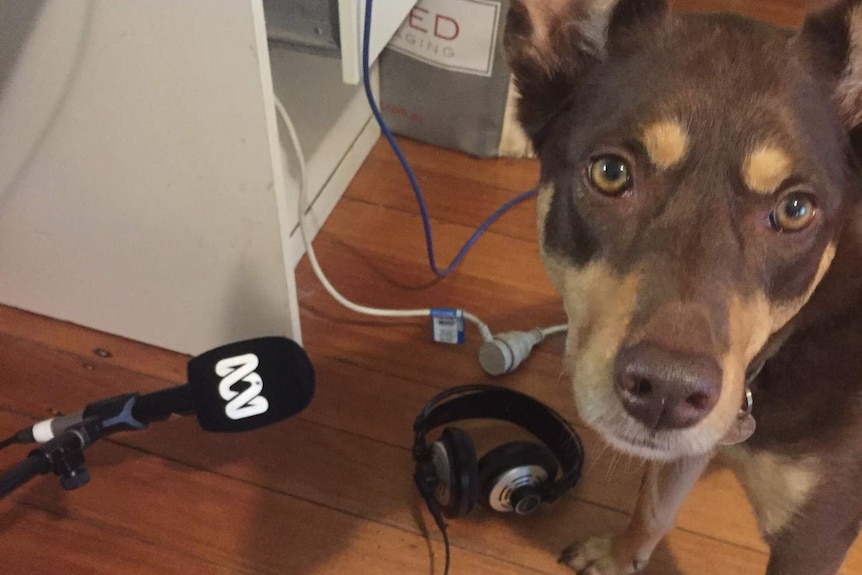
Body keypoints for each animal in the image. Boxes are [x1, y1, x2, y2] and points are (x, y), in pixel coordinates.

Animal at [502, 1, 862, 575]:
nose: (666, 391)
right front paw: (619, 555)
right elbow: (655, 502)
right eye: (610, 172)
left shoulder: (816, 533)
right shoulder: (707, 421)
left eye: (795, 209)